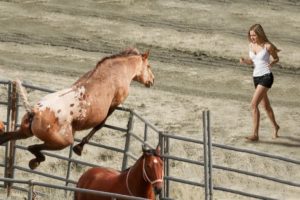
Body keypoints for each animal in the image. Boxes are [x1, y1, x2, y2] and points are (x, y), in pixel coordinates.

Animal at [0, 48, 155, 169]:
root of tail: (35, 112)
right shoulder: (115, 103)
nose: (152, 81)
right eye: (148, 66)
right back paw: (35, 162)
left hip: (25, 132)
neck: (118, 70)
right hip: (62, 141)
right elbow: (100, 125)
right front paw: (79, 148)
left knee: (7, 137)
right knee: (33, 148)